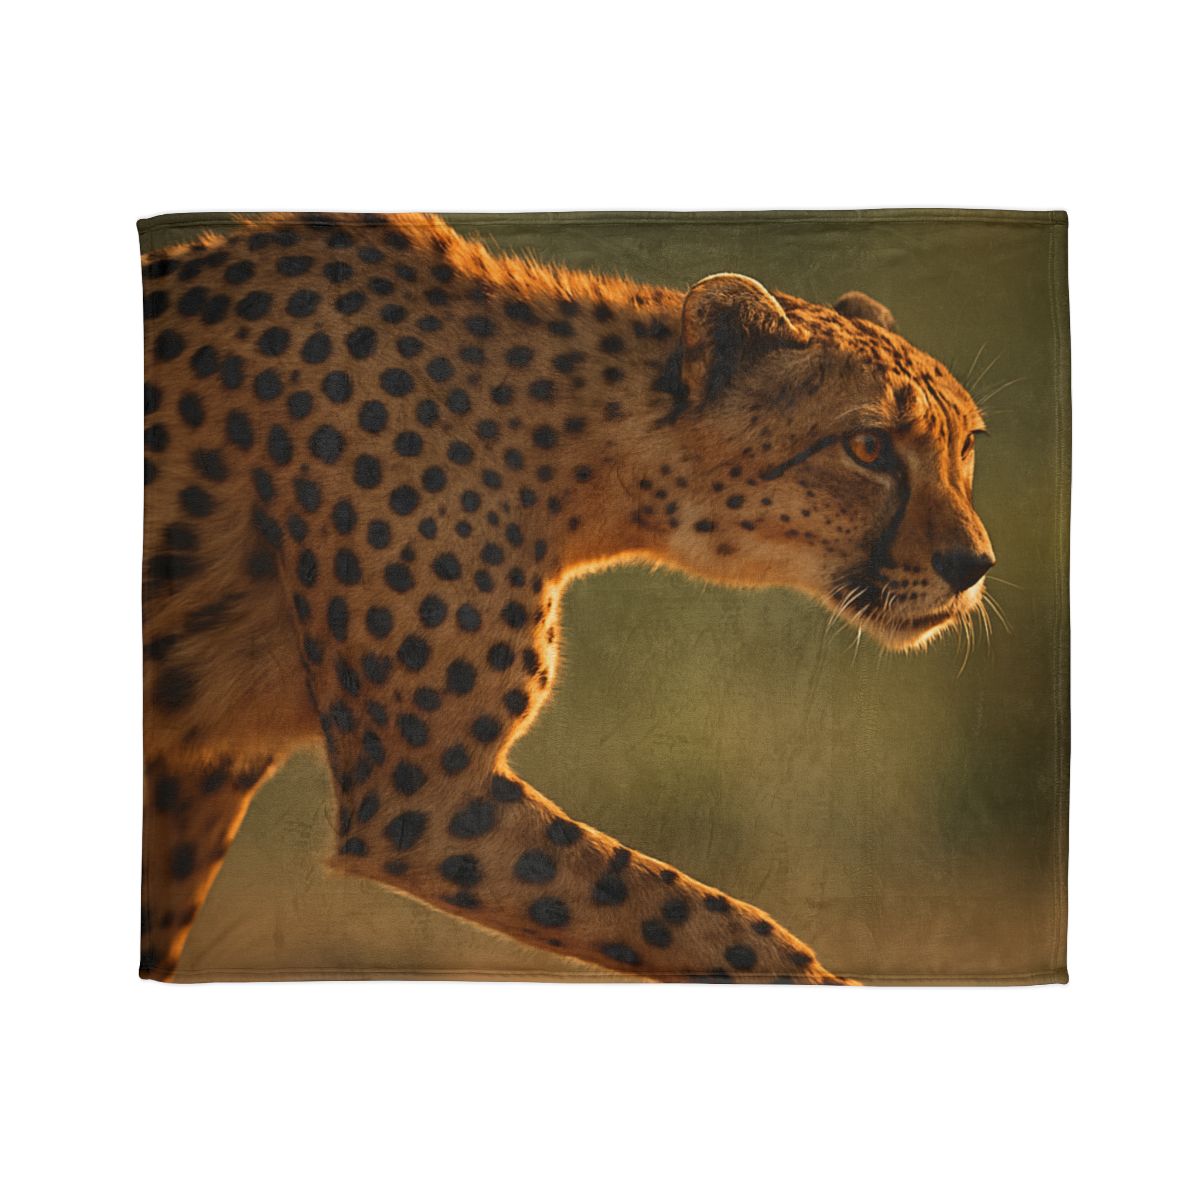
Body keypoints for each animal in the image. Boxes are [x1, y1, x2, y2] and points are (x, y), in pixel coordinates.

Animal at [140, 212, 994, 983]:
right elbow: (713, 924)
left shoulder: (203, 765)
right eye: (868, 446)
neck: (577, 451)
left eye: (967, 445)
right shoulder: (425, 799)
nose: (974, 564)